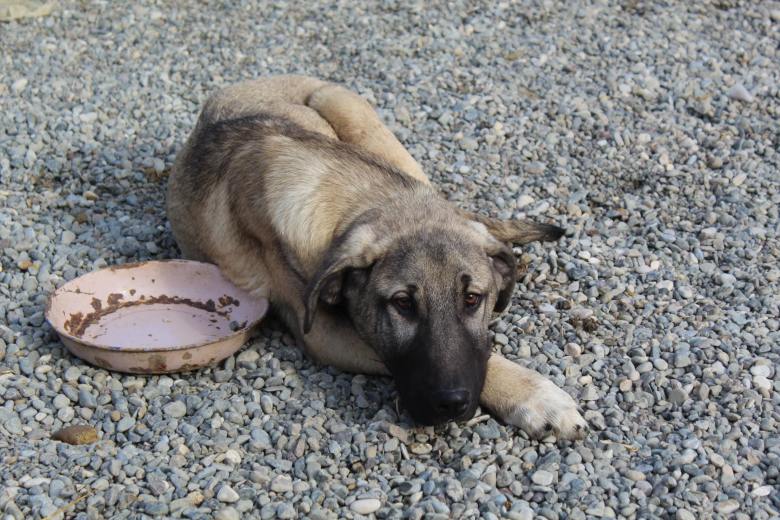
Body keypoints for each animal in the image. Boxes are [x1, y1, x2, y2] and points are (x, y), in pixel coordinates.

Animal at [167, 75, 587, 439]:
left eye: (472, 299)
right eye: (402, 304)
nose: (451, 404)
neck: (362, 203)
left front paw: (531, 393)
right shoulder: (325, 333)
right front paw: (533, 395)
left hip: (353, 114)